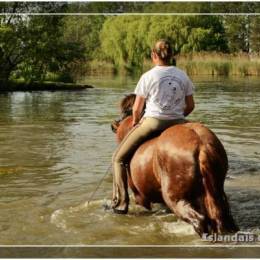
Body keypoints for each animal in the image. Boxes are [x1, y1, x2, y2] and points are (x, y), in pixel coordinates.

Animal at [110, 93, 239, 236]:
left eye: (125, 111)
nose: (114, 124)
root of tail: (201, 146)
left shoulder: (140, 196)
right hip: (217, 193)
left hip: (175, 198)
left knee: (199, 220)